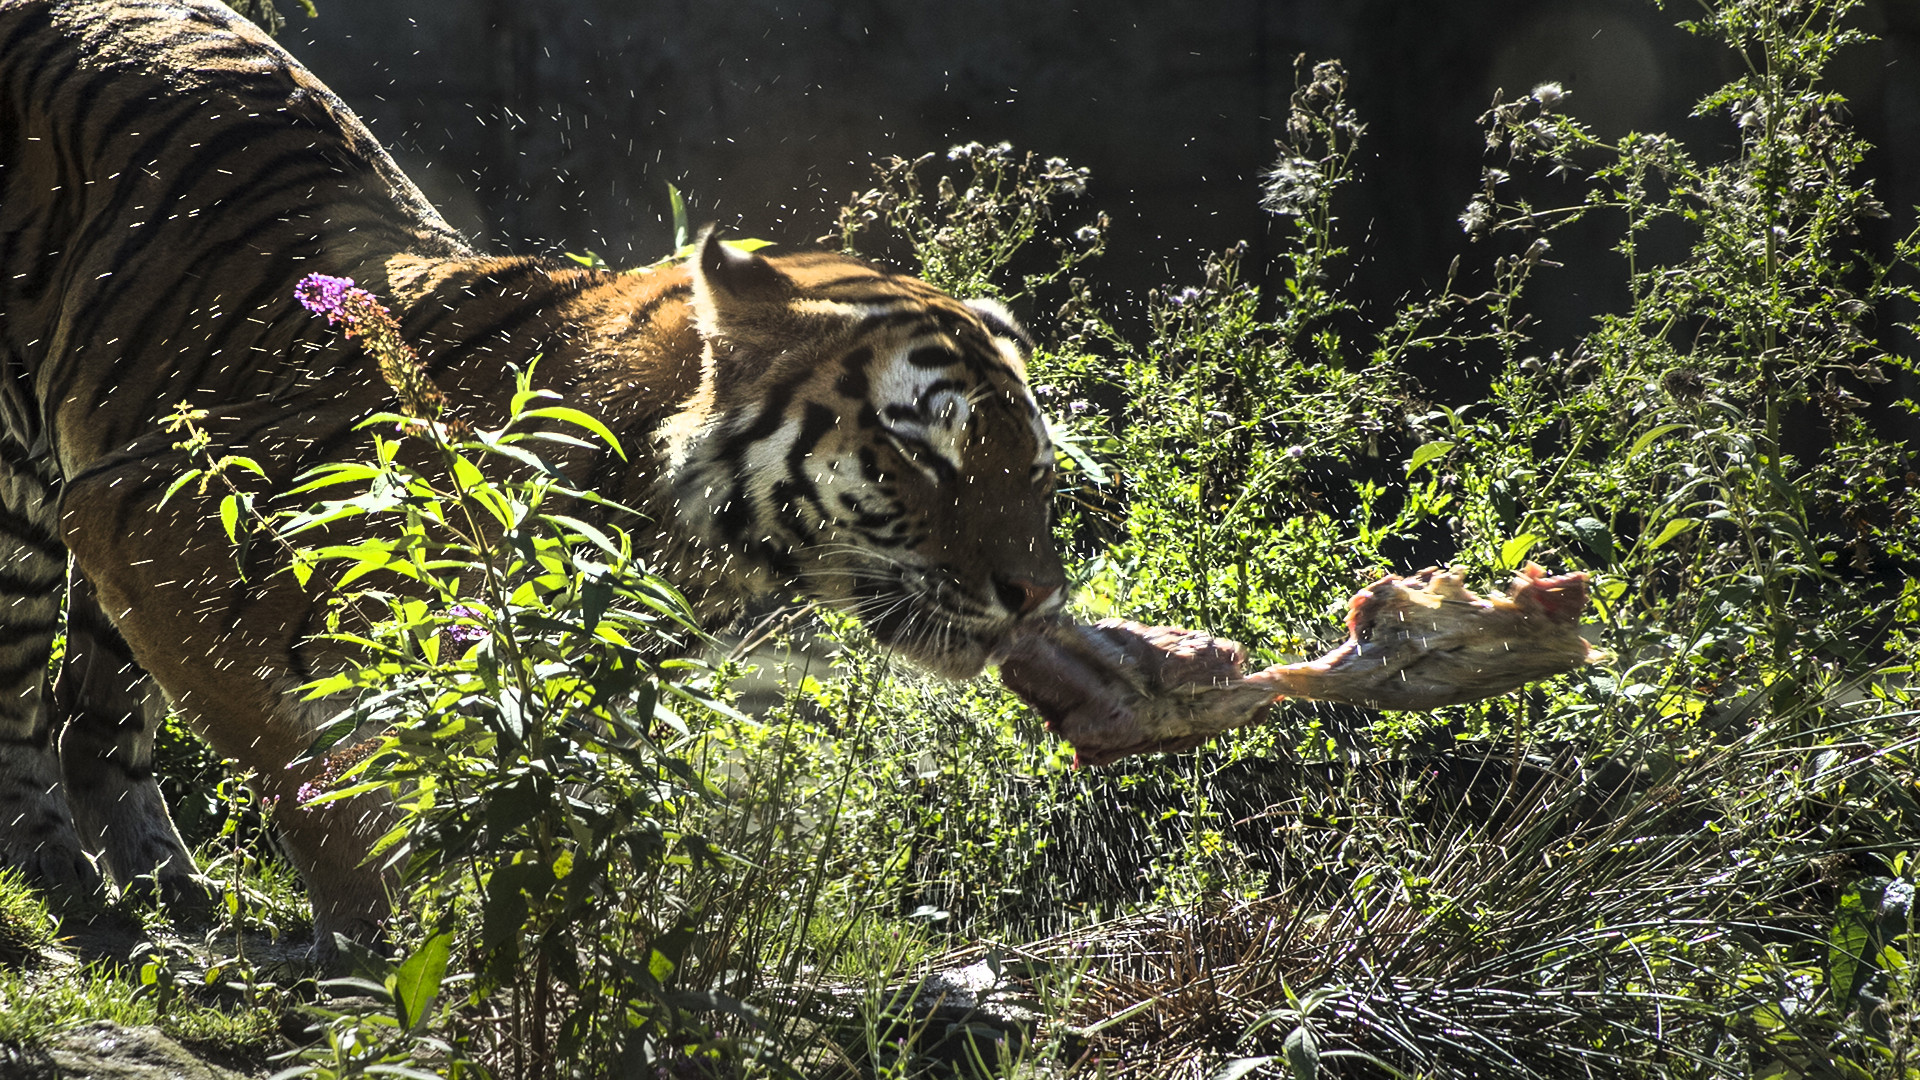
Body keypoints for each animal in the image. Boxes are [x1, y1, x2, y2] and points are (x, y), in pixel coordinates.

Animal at [0, 0, 1067, 941]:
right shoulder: (144, 517)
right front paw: (374, 970)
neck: (679, 550)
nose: (1039, 596)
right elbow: (316, 785)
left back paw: (174, 892)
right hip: (29, 491)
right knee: (24, 705)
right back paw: (63, 870)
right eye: (918, 455)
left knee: (90, 720)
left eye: (1036, 473)